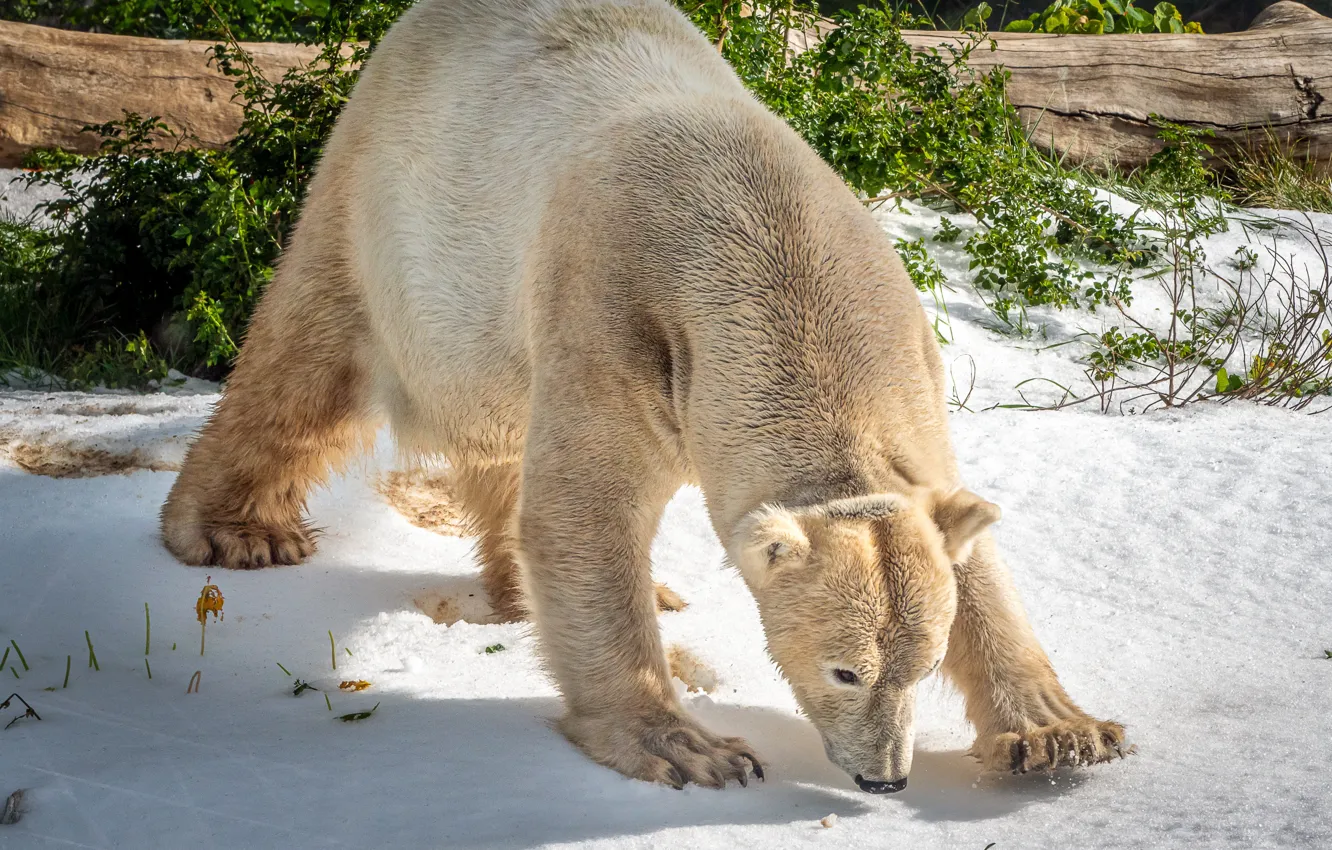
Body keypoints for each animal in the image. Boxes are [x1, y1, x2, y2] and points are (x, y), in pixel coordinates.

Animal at [161, 0, 1127, 791]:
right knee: (311, 362)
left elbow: (967, 546)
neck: (780, 252)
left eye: (919, 667)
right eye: (845, 670)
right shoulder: (623, 316)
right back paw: (237, 531)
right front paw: (692, 748)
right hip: (396, 205)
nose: (883, 779)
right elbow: (583, 510)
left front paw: (1062, 735)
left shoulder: (905, 355)